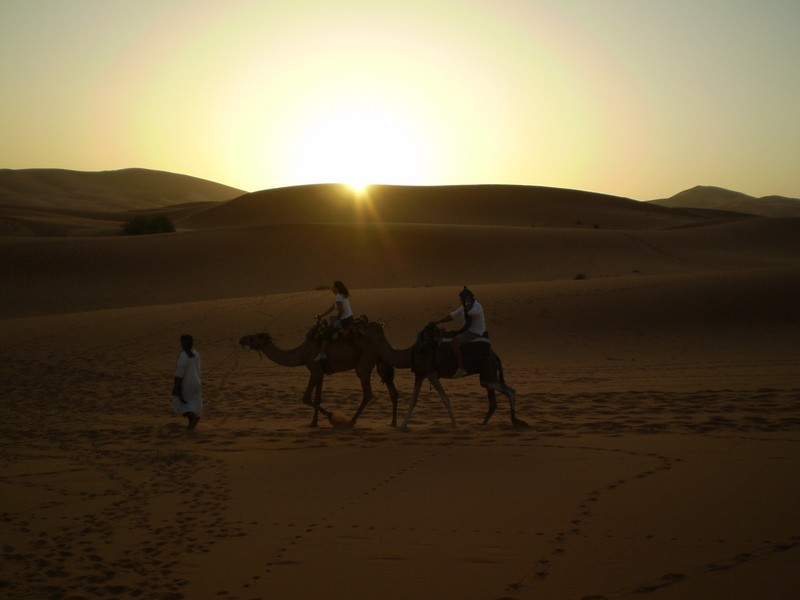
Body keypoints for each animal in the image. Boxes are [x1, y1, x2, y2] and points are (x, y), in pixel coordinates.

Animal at [238, 326, 400, 428]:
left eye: (256, 336)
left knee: (368, 393)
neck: (301, 354)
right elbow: (317, 397)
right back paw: (393, 422)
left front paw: (331, 418)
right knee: (393, 391)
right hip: (380, 362)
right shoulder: (320, 372)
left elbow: (306, 397)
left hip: (365, 361)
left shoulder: (315, 369)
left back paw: (351, 421)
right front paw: (316, 421)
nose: (242, 339)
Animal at [356, 322, 524, 428]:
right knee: (493, 397)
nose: (358, 326)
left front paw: (454, 424)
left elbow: (438, 398)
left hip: (487, 370)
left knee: (510, 391)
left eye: (368, 325)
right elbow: (420, 400)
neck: (409, 354)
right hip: (487, 373)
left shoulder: (427, 372)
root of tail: (495, 355)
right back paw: (484, 423)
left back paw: (515, 421)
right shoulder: (423, 373)